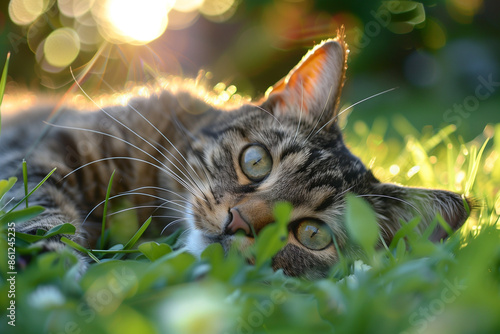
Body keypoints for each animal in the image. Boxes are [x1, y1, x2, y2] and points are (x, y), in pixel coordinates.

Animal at [0, 33, 470, 280]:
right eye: (256, 161)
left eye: (313, 234)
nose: (238, 221)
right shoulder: (49, 150)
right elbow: (36, 207)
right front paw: (50, 257)